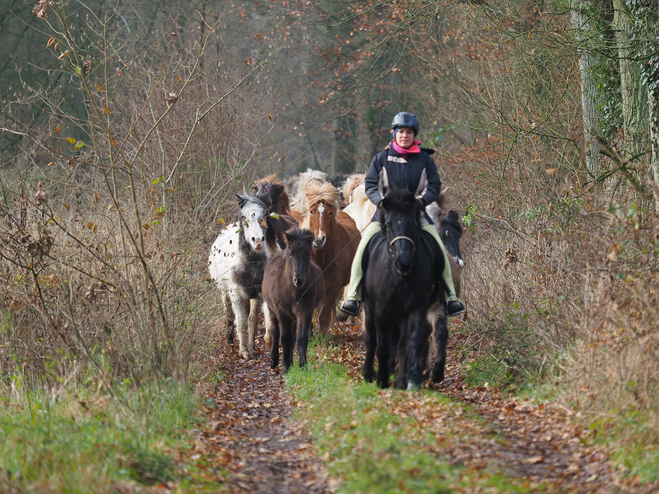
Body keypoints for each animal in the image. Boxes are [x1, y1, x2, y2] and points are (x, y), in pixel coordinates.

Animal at [262, 228, 324, 370]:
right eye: (291, 254)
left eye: (308, 254)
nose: (298, 280)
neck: (294, 293)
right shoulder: (282, 312)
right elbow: (285, 339)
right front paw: (285, 367)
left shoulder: (305, 311)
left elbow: (300, 338)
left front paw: (303, 366)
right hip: (272, 310)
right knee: (275, 332)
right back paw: (274, 360)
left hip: (293, 316)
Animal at [304, 181, 360, 336]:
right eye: (312, 211)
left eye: (329, 213)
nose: (319, 239)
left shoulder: (332, 287)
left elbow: (324, 315)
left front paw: (321, 337)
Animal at [364, 189, 446, 390]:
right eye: (388, 224)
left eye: (413, 224)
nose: (404, 261)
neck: (400, 277)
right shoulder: (381, 311)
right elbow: (382, 345)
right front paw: (382, 379)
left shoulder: (416, 308)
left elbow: (412, 342)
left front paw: (409, 380)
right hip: (369, 307)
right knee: (371, 338)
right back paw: (368, 373)